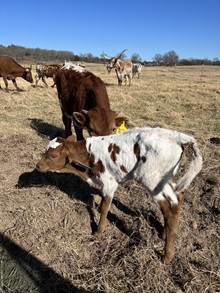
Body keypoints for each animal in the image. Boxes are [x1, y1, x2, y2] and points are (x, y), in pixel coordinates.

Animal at [36, 126, 203, 264]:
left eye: (53, 155)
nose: (38, 166)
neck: (88, 157)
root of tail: (177, 136)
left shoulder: (108, 183)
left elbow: (104, 208)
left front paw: (98, 232)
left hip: (151, 179)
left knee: (169, 208)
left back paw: (167, 256)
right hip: (166, 178)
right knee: (178, 198)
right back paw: (164, 233)